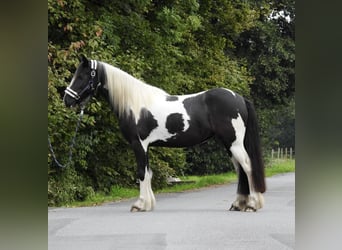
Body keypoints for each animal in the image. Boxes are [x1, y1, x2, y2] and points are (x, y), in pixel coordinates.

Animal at [64, 55, 268, 212]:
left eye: (82, 76)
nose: (67, 100)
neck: (135, 104)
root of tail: (239, 98)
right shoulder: (146, 146)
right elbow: (148, 173)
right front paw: (148, 204)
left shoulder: (139, 144)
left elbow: (141, 173)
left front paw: (139, 205)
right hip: (229, 144)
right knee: (240, 169)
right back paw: (238, 204)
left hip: (234, 143)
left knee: (248, 166)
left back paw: (252, 205)